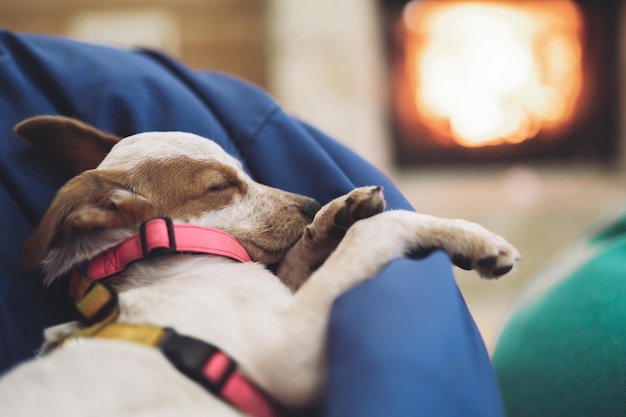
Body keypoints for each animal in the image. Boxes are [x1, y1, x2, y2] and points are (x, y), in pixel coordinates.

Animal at [0, 116, 516, 416]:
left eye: (244, 172)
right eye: (219, 186)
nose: (311, 203)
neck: (163, 255)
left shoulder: (286, 301)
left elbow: (303, 254)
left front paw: (336, 215)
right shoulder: (292, 355)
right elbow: (378, 230)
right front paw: (474, 237)